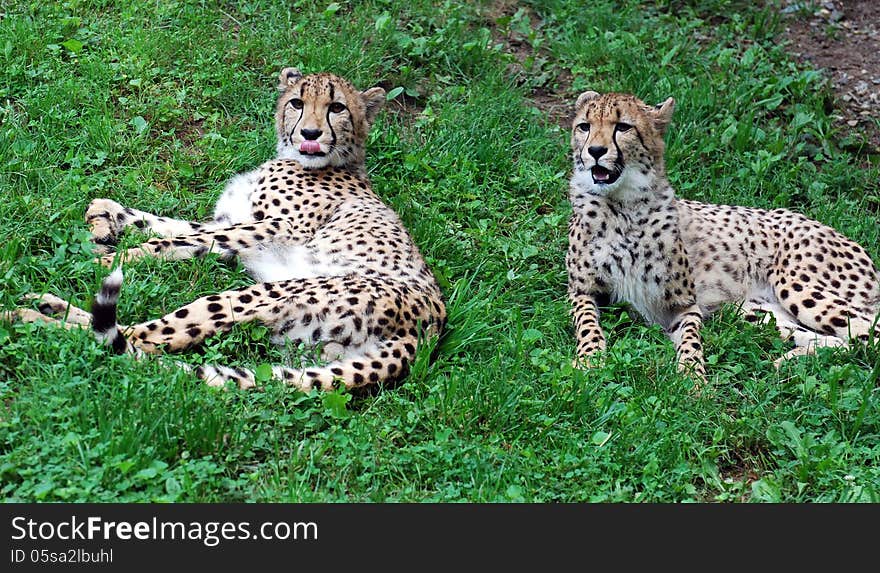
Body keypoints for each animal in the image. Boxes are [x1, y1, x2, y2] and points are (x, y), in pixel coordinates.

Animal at [6, 66, 446, 388]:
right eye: (297, 102)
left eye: (337, 107)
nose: (310, 133)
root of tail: (429, 328)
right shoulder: (233, 222)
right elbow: (173, 227)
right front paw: (106, 215)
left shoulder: (276, 227)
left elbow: (177, 240)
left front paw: (112, 257)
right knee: (142, 338)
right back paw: (45, 305)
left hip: (263, 294)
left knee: (143, 339)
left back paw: (31, 318)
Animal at [568, 90, 876, 384]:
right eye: (584, 126)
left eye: (623, 127)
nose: (595, 151)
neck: (623, 206)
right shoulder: (580, 292)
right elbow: (588, 325)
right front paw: (589, 360)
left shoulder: (685, 304)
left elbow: (691, 341)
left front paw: (692, 377)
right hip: (751, 310)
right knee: (843, 341)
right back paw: (786, 364)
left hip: (798, 287)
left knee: (868, 333)